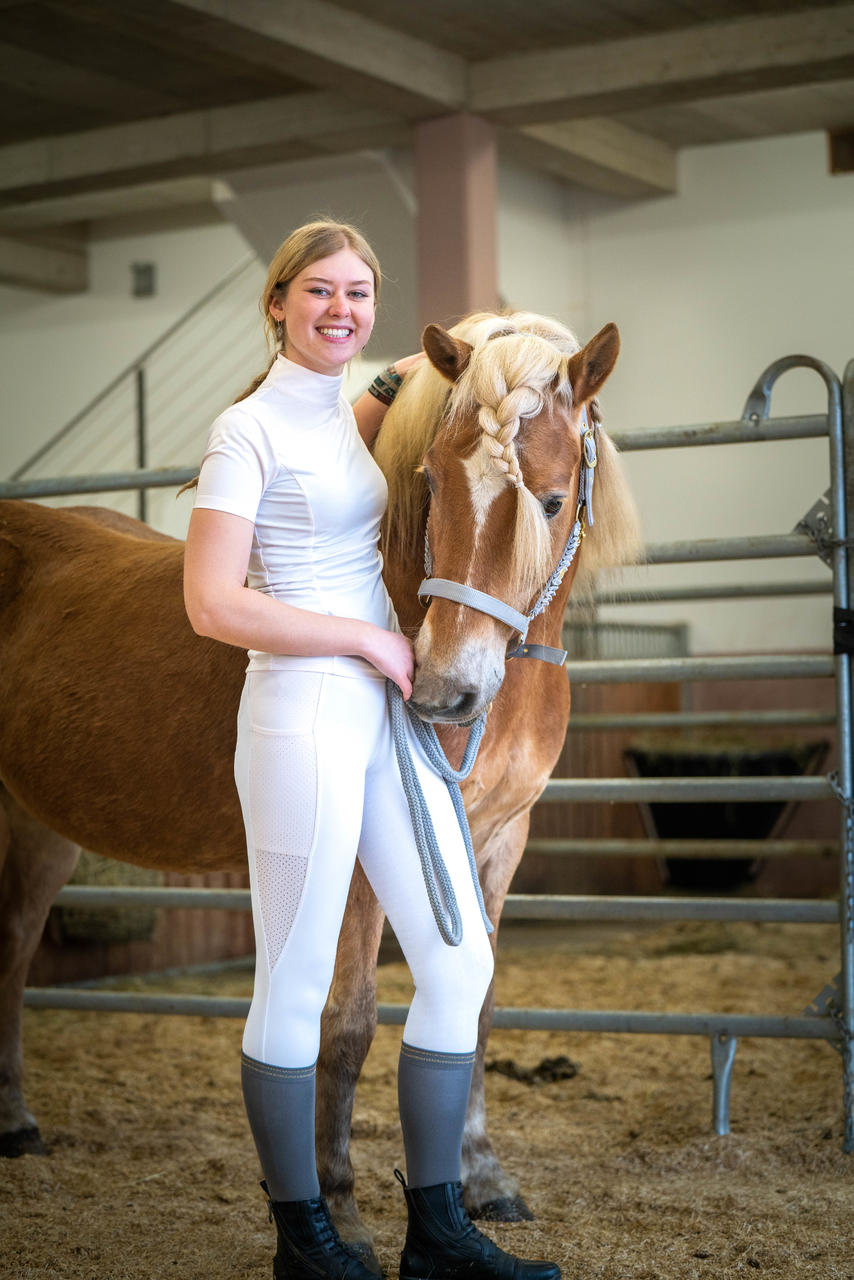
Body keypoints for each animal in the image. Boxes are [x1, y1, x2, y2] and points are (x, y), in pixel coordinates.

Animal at [0, 307, 640, 1249]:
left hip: (39, 823)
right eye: (433, 483)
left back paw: (16, 1121)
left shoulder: (498, 840)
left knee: (13, 944)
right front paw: (338, 1202)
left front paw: (484, 1179)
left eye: (553, 500)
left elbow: (479, 1003)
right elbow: (347, 1023)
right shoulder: (374, 857)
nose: (442, 691)